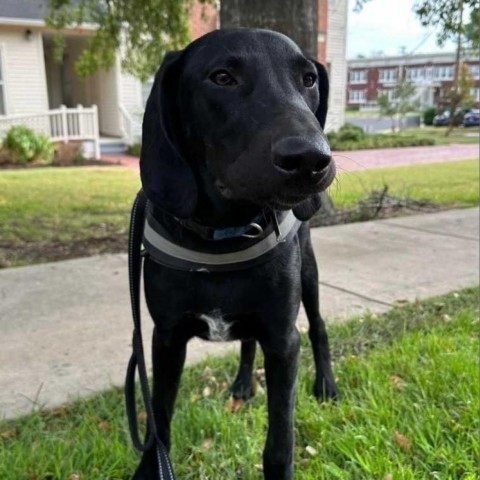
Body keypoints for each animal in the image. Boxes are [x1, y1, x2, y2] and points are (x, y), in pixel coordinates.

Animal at [135, 28, 338, 478]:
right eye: (222, 77)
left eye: (309, 80)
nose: (311, 159)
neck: (222, 237)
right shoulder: (166, 338)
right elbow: (159, 420)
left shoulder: (283, 341)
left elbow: (280, 442)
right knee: (247, 342)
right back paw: (244, 384)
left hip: (310, 276)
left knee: (317, 327)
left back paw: (327, 385)